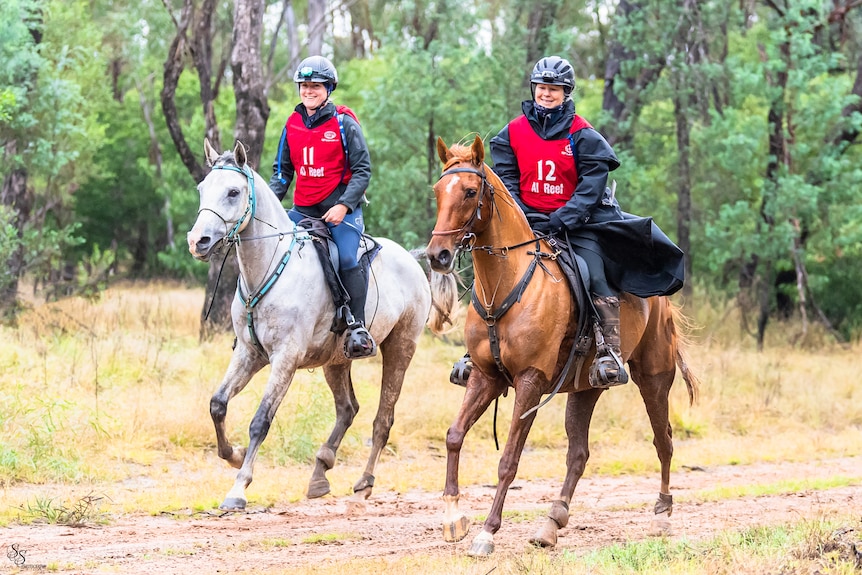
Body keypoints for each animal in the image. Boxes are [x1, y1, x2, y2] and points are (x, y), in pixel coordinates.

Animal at [187, 142, 460, 510]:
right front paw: (234, 454)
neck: (271, 266)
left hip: (400, 348)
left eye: (233, 192)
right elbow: (217, 404)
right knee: (347, 409)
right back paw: (320, 471)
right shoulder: (248, 354)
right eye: (202, 189)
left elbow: (260, 421)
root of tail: (411, 258)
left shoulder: (285, 359)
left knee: (382, 419)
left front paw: (238, 488)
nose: (198, 241)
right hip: (337, 360)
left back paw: (364, 482)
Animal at [426, 136, 704, 560]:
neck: (505, 285)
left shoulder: (530, 381)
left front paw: (487, 532)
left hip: (654, 378)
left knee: (664, 441)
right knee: (578, 454)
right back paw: (550, 524)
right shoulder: (485, 377)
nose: (437, 255)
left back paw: (661, 515)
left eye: (470, 191)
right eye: (438, 191)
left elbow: (509, 459)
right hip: (585, 388)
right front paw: (453, 517)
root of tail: (660, 301)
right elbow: (454, 436)